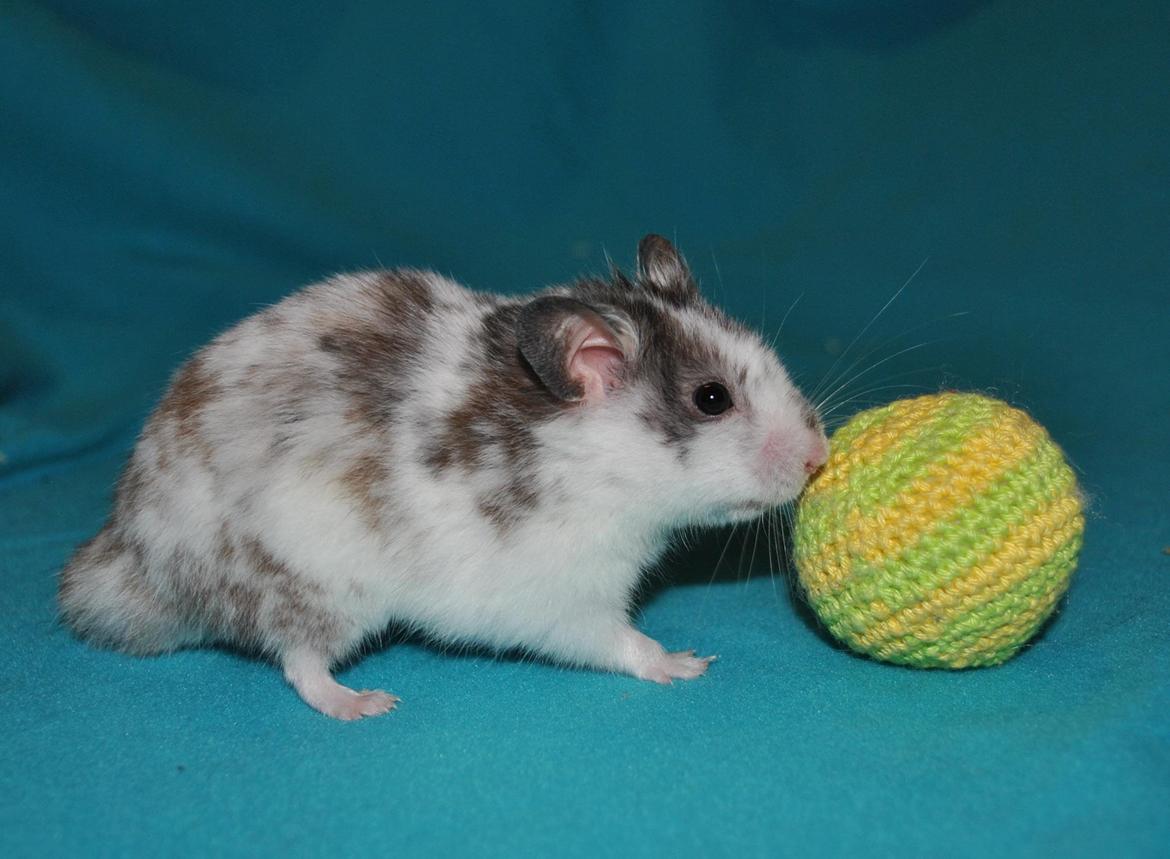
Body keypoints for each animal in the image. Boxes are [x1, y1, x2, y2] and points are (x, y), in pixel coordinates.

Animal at [59, 235, 829, 720]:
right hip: (324, 588)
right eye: (711, 398)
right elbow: (620, 641)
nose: (818, 458)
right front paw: (689, 662)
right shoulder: (566, 596)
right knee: (300, 664)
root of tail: (136, 556)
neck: (594, 461)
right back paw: (365, 706)